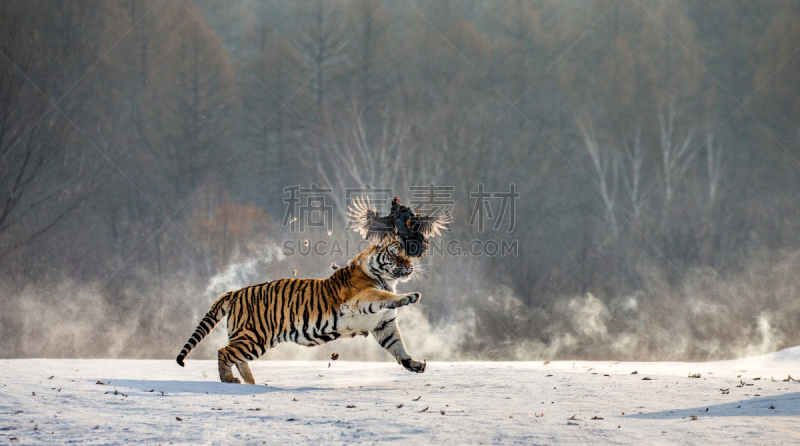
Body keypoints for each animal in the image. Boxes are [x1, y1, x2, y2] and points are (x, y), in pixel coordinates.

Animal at [175, 240, 424, 384]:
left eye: (407, 255)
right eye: (394, 254)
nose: (409, 265)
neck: (388, 280)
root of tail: (235, 292)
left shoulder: (383, 324)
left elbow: (397, 345)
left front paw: (413, 364)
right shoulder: (363, 296)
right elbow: (385, 297)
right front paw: (410, 296)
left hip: (250, 338)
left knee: (237, 358)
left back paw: (251, 382)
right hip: (254, 337)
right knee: (223, 352)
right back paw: (230, 381)